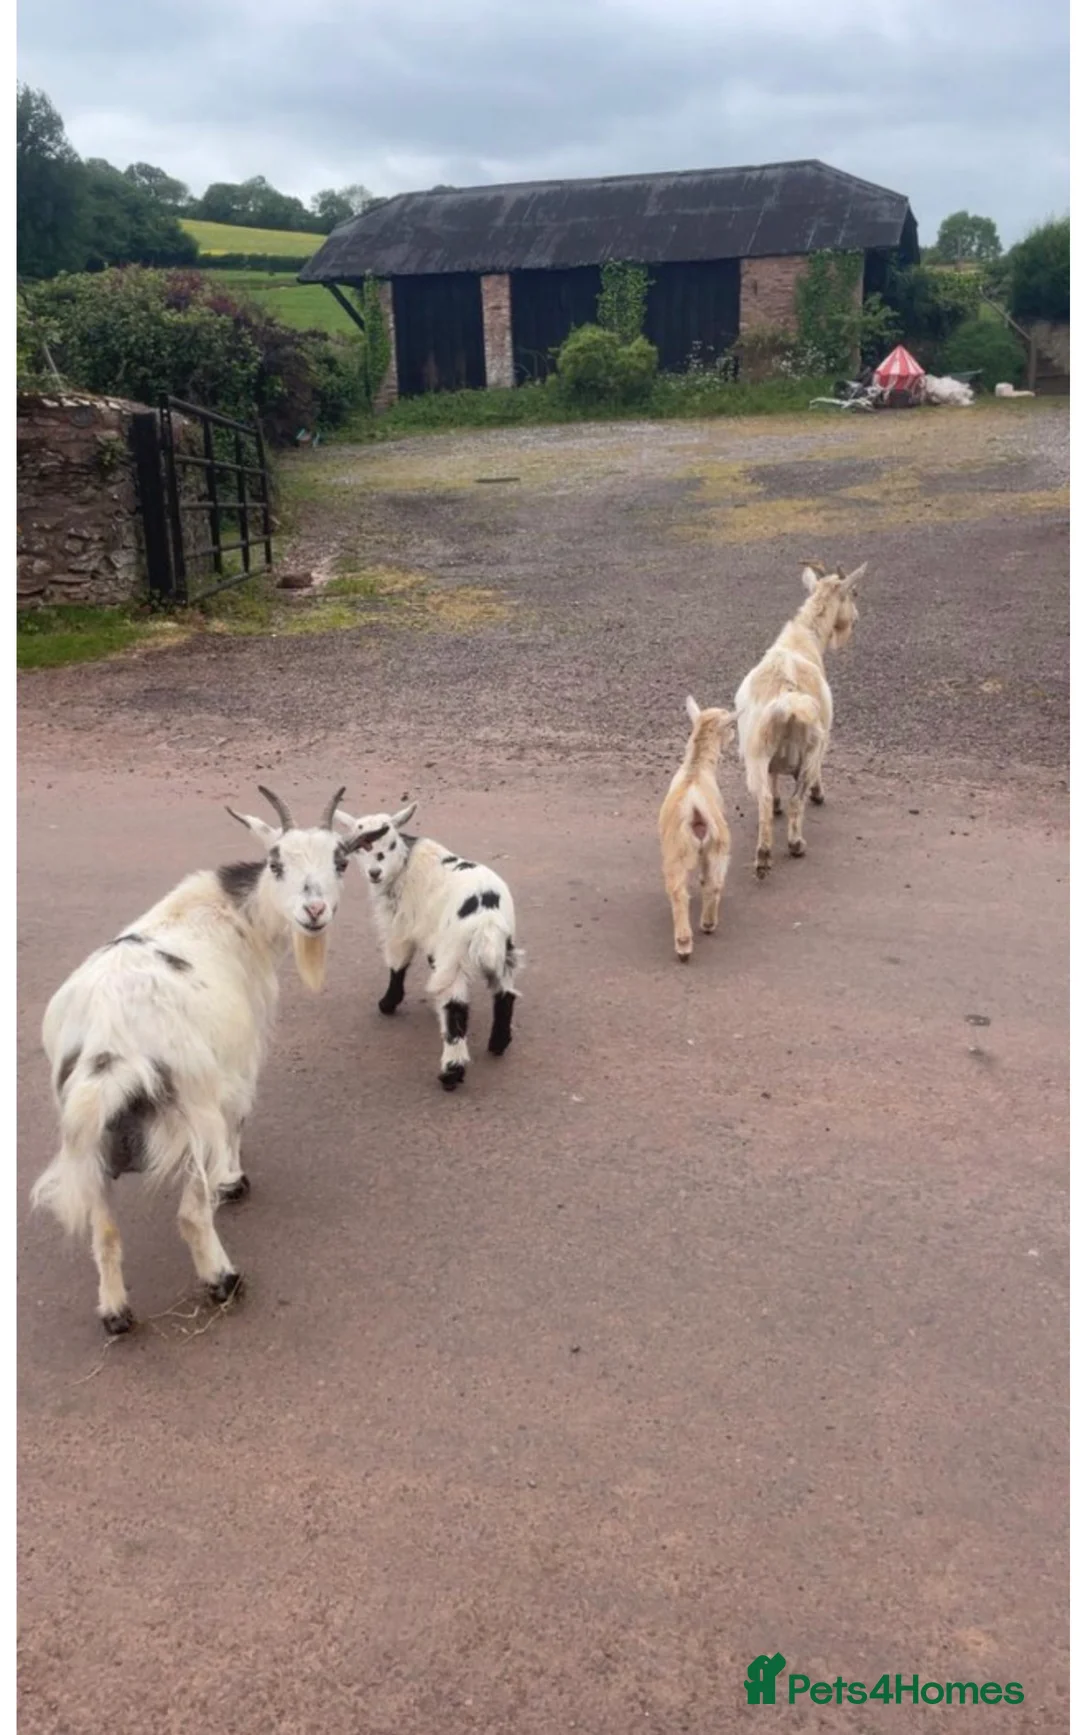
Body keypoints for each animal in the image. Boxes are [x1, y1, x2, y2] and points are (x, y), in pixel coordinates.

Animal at [31, 786, 366, 1334]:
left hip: (87, 1142)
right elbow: (240, 1119)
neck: (234, 914)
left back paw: (116, 1313)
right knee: (190, 1214)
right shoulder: (241, 1061)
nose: (314, 911)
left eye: (341, 861)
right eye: (277, 862)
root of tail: (112, 1042)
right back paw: (224, 1281)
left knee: (104, 1229)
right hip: (191, 1117)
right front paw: (234, 1181)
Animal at [337, 801, 521, 1092]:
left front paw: (388, 1003)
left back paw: (451, 1074)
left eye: (390, 843)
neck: (405, 863)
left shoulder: (400, 927)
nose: (375, 873)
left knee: (456, 1009)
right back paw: (498, 1044)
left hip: (456, 955)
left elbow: (397, 963)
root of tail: (487, 918)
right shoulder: (435, 936)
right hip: (504, 950)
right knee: (505, 994)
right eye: (360, 845)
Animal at [658, 696, 736, 961]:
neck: (695, 767)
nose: (734, 734)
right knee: (715, 884)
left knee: (679, 893)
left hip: (676, 851)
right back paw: (707, 924)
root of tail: (695, 807)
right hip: (718, 845)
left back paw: (684, 942)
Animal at [735, 561, 866, 879]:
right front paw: (819, 794)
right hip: (809, 750)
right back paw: (795, 844)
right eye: (853, 593)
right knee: (798, 800)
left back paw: (763, 855)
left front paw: (777, 801)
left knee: (763, 800)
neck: (800, 641)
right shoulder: (823, 742)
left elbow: (773, 784)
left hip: (756, 751)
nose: (855, 620)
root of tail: (787, 701)